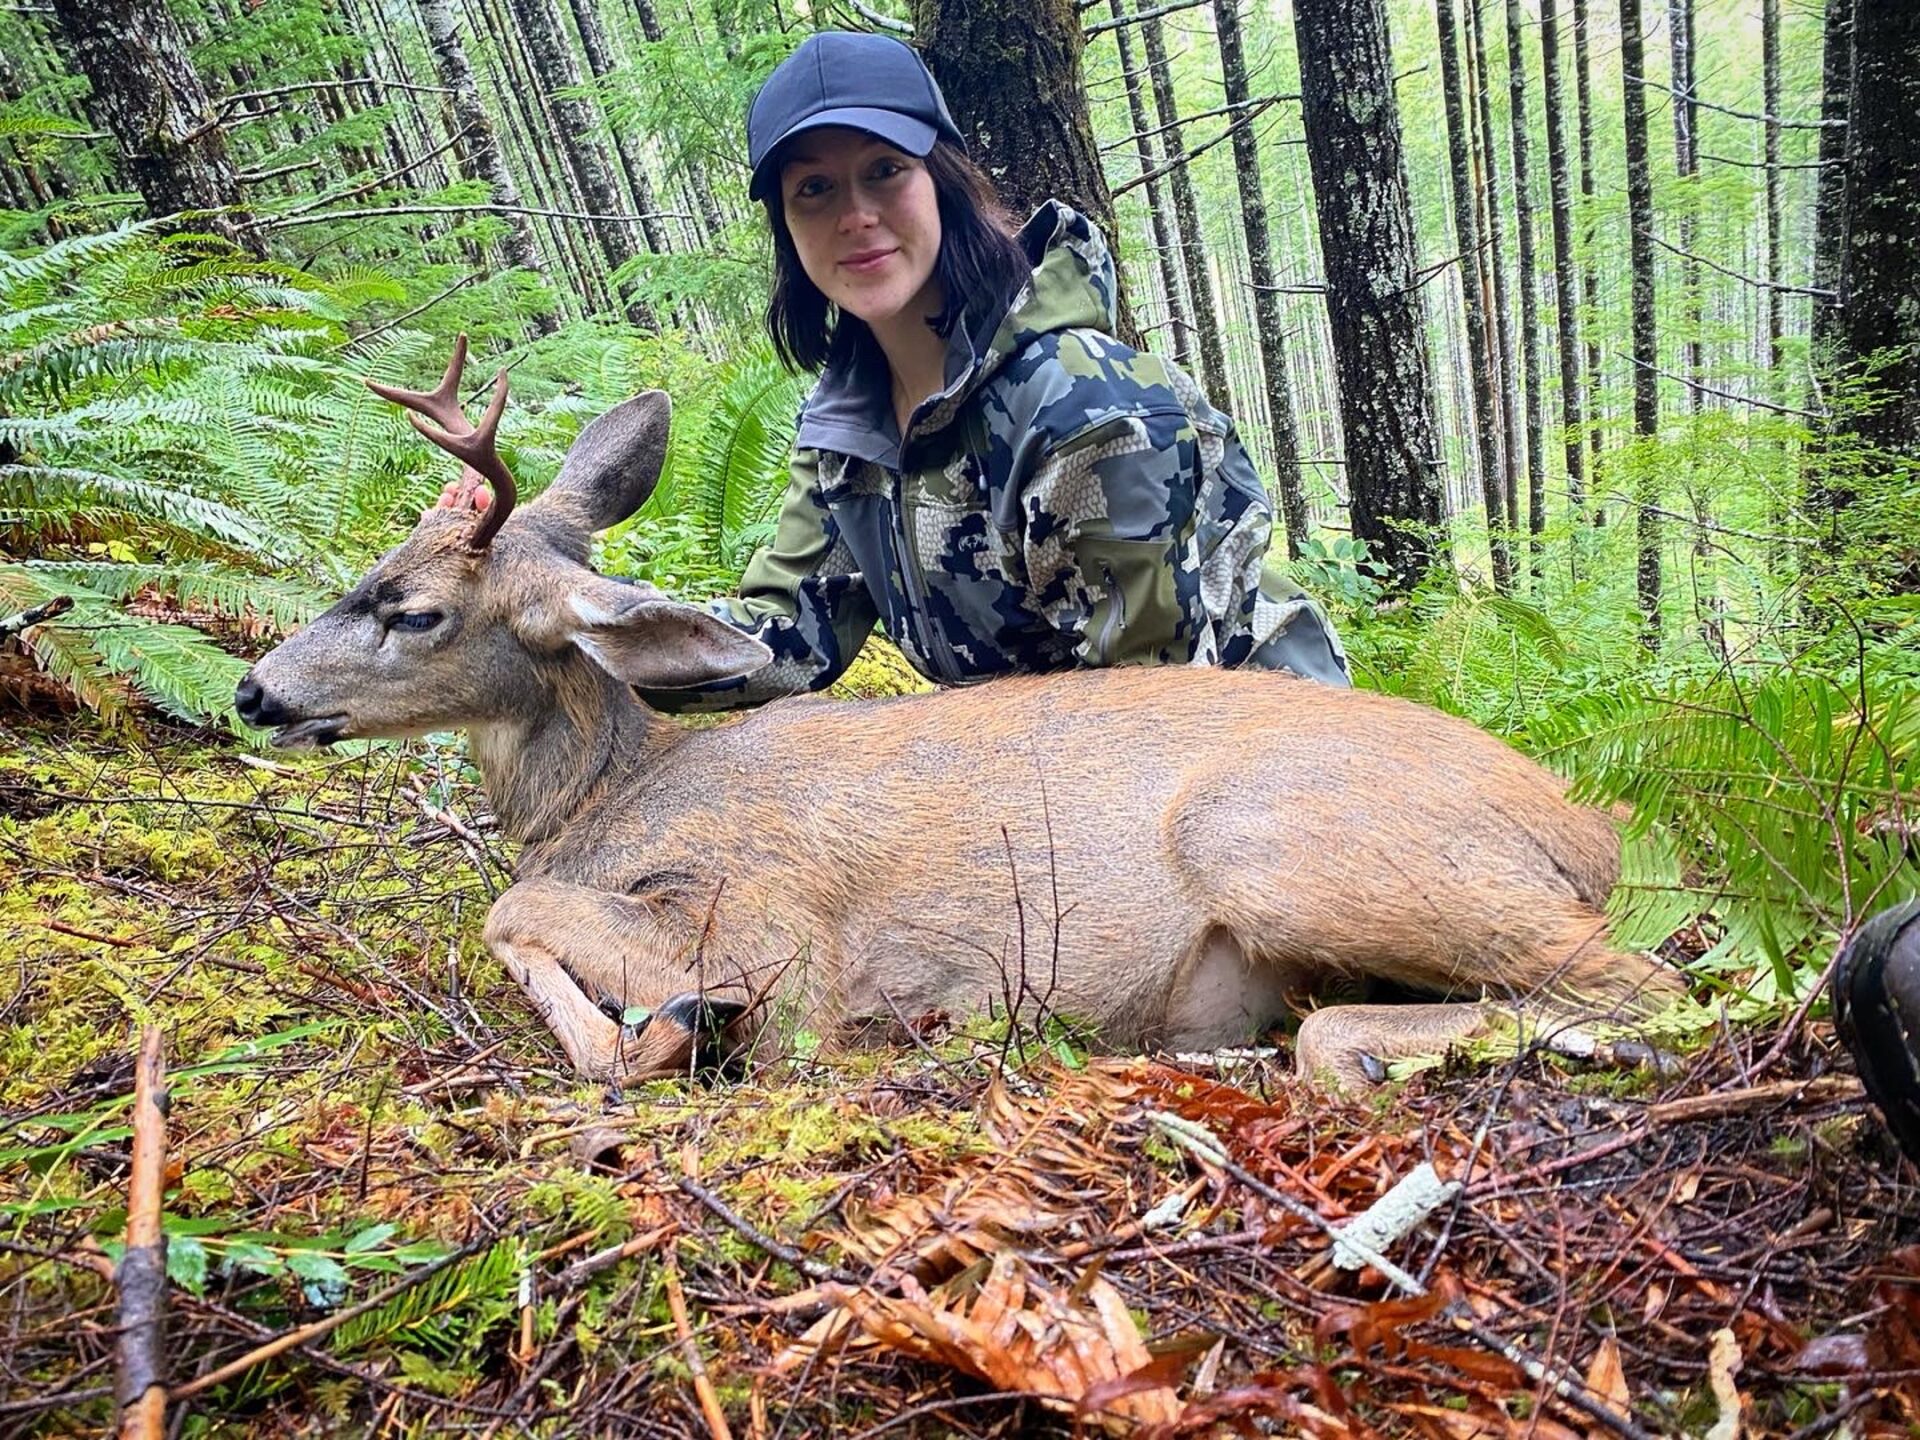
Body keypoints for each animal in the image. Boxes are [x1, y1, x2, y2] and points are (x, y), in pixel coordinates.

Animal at [236, 343, 1681, 1090]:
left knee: (1650, 986)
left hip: (1293, 847)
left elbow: (519, 913)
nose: (256, 691)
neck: (611, 799)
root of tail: (1594, 825)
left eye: (413, 608)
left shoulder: (771, 929)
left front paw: (658, 1037)